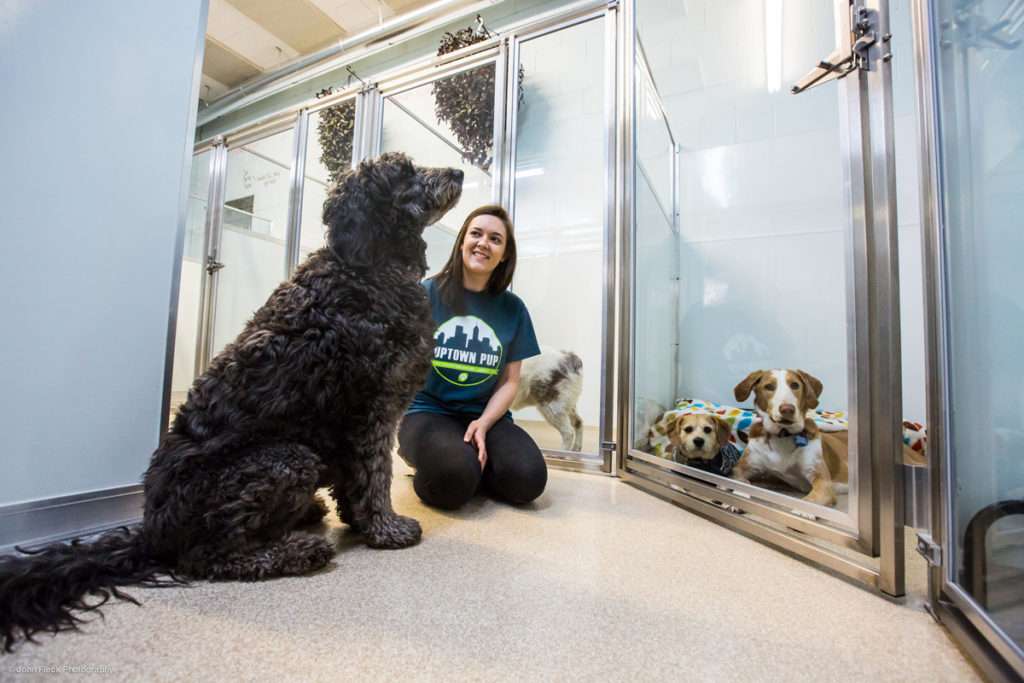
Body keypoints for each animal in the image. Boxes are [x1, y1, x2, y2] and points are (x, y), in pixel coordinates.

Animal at [0, 152, 464, 651]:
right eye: (404, 171)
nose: (458, 172)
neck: (366, 267)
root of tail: (153, 533)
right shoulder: (372, 410)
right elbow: (374, 478)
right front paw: (386, 528)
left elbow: (356, 485)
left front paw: (366, 524)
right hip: (286, 459)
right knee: (206, 557)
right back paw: (298, 550)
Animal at [733, 368, 851, 507]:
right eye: (769, 386)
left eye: (795, 385)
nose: (787, 409)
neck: (783, 435)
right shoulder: (739, 468)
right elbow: (741, 484)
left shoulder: (823, 483)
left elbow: (807, 502)